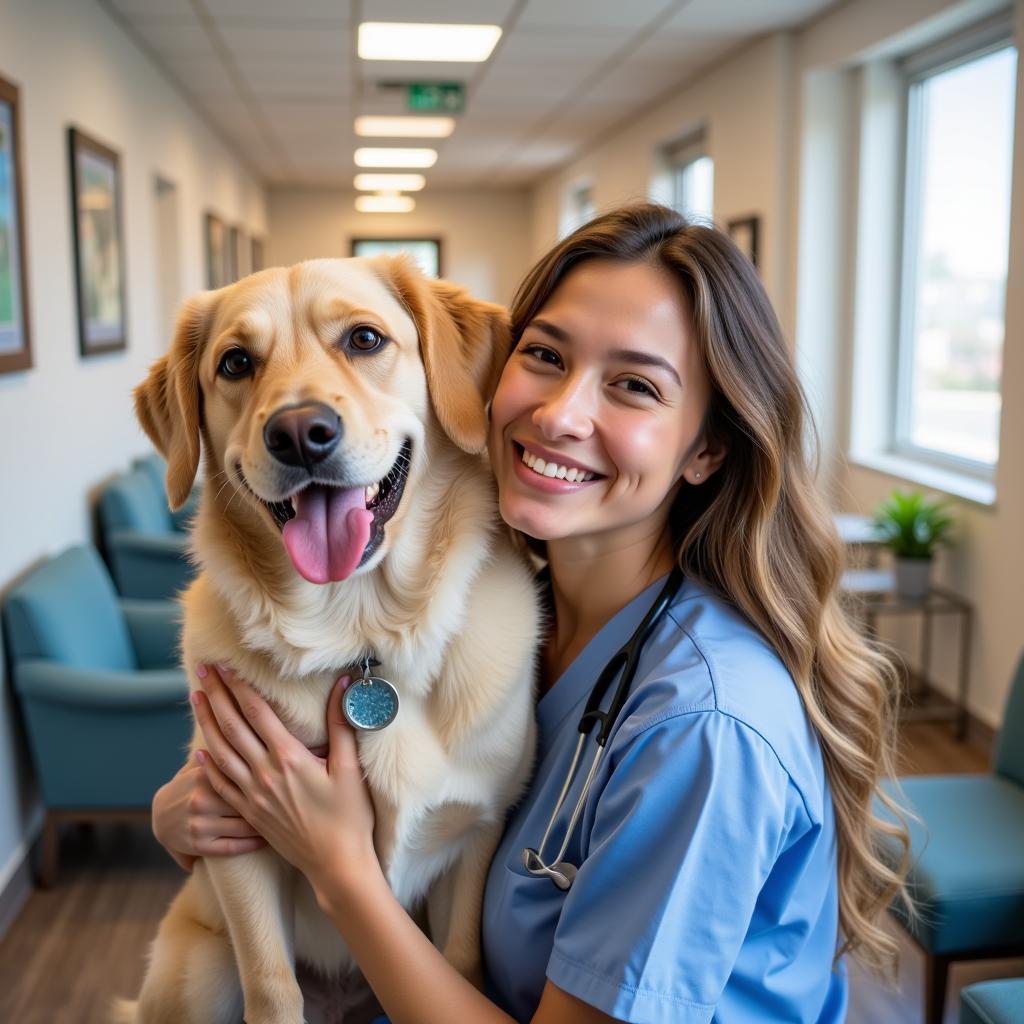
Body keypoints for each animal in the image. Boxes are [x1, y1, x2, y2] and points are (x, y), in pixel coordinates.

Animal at [115, 256, 540, 1024]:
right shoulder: (234, 836)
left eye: (364, 339)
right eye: (236, 362)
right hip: (200, 966)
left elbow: (460, 961)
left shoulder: (474, 835)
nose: (298, 431)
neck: (360, 632)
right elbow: (272, 987)